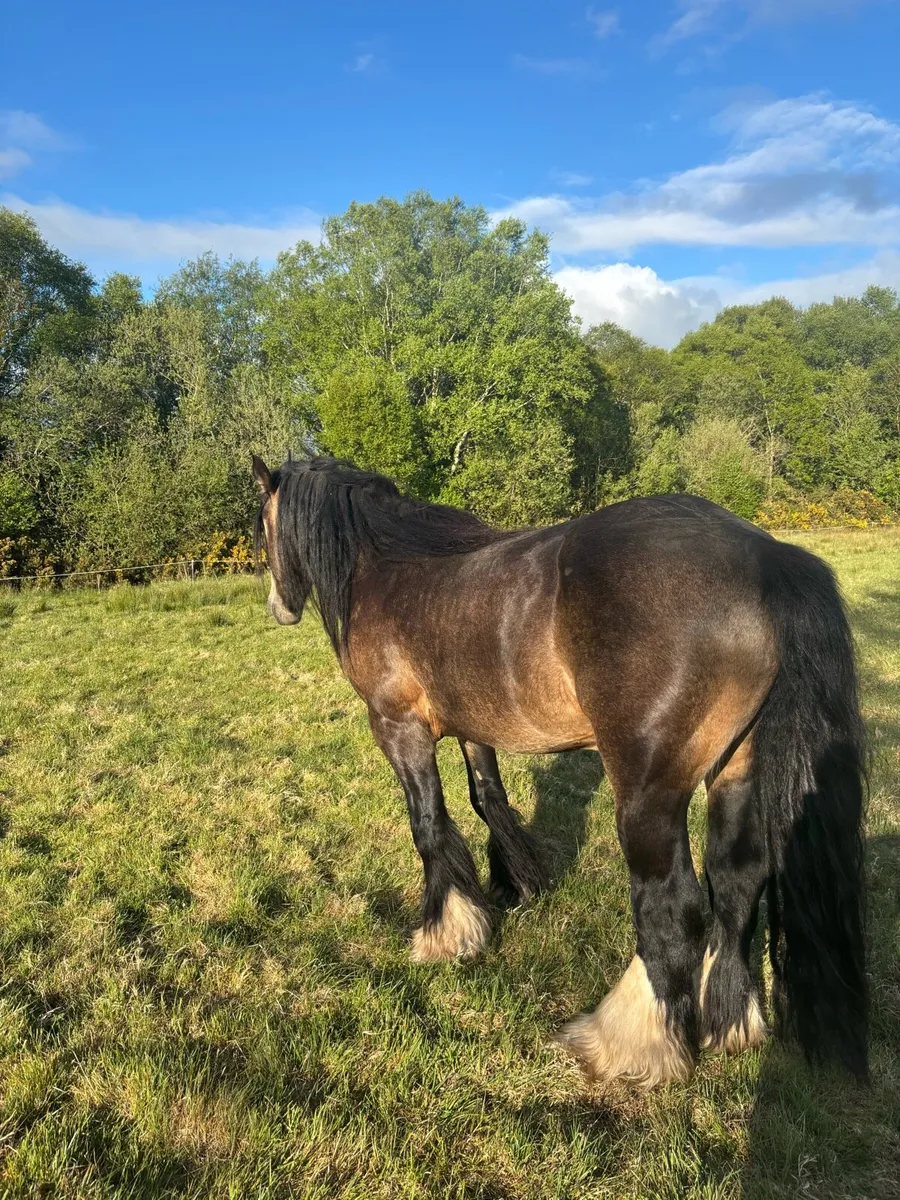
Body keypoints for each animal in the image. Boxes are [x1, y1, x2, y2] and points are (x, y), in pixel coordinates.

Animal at [251, 454, 868, 1088]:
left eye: (259, 525)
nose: (279, 607)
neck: (386, 568)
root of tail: (767, 557)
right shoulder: (476, 727)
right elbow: (489, 800)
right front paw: (511, 887)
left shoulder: (398, 727)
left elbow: (428, 824)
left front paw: (445, 933)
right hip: (735, 769)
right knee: (738, 881)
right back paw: (729, 1022)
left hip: (648, 793)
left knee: (673, 905)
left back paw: (625, 1045)